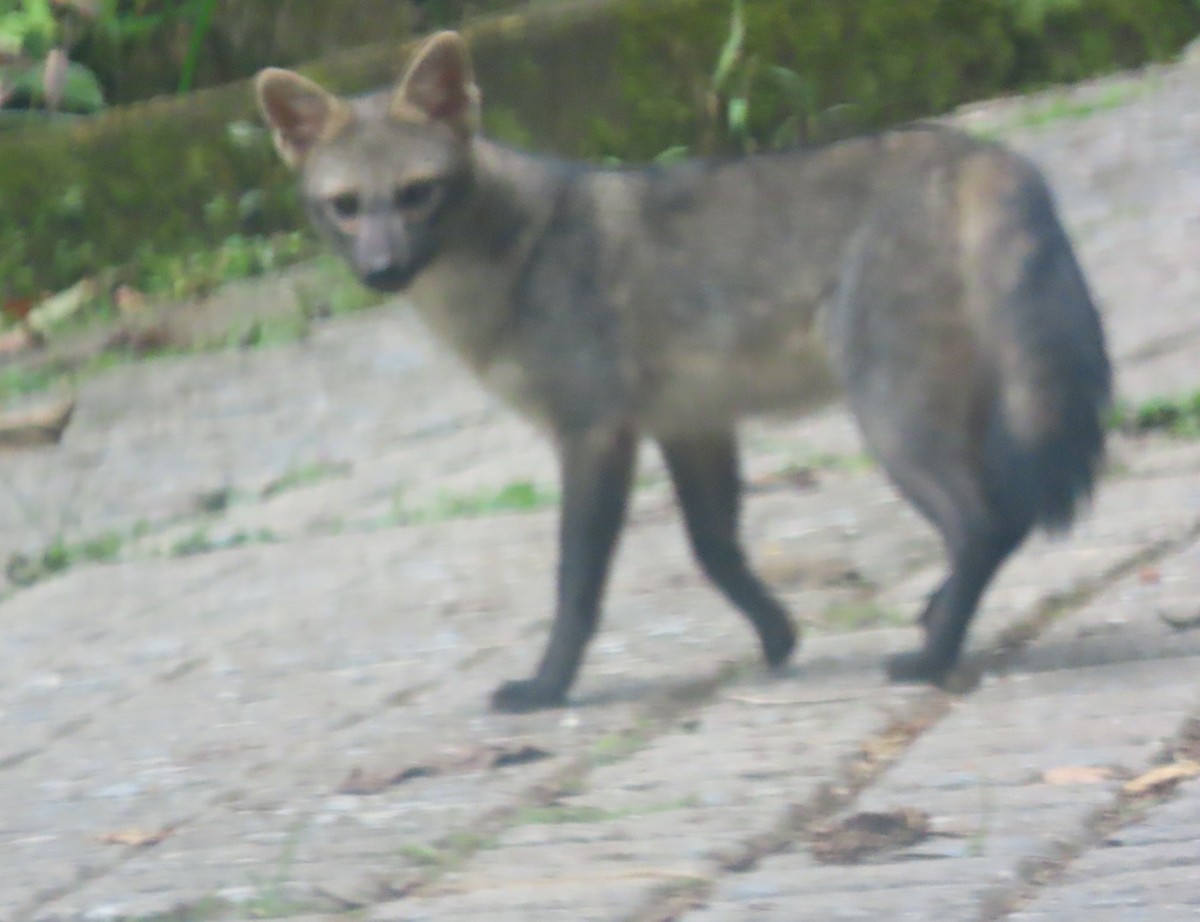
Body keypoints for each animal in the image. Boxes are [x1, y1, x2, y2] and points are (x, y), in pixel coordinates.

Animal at [255, 31, 1111, 712]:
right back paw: (933, 617)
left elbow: (577, 585)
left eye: (417, 193)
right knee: (1004, 518)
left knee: (985, 523)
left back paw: (931, 656)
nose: (381, 270)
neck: (509, 265)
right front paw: (778, 638)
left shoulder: (594, 432)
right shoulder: (690, 423)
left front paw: (547, 687)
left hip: (892, 421)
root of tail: (985, 153)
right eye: (345, 206)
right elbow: (716, 552)